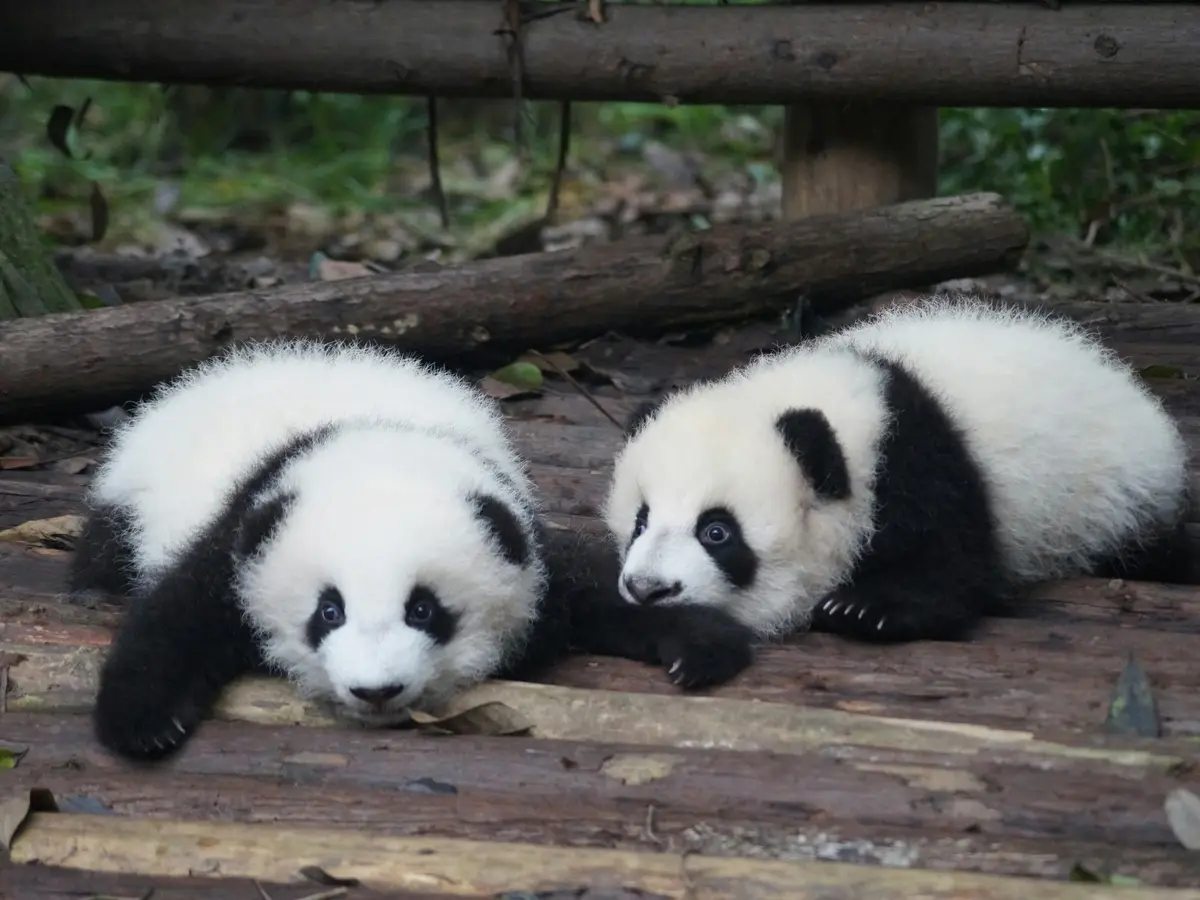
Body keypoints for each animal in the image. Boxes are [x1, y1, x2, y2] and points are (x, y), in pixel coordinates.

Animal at [600, 295, 1192, 682]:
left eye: (717, 532)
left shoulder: (921, 462)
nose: (648, 590)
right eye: (641, 521)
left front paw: (864, 609)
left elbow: (953, 564)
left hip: (1120, 499)